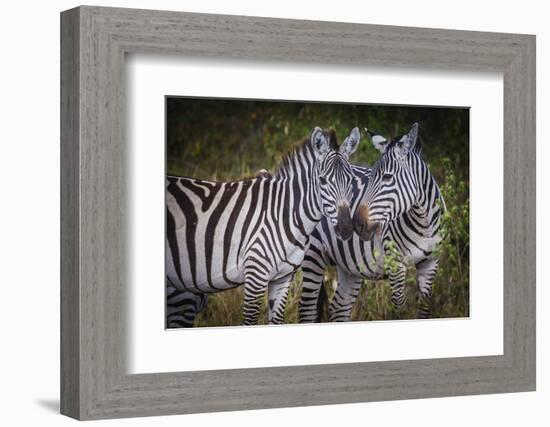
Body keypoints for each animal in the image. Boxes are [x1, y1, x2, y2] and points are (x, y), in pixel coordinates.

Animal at [165, 127, 362, 328]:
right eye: (322, 181)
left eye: (352, 181)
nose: (346, 228)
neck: (285, 214)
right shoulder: (255, 275)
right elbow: (250, 321)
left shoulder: (283, 278)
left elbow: (276, 320)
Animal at [300, 123, 446, 324]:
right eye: (371, 177)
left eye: (387, 177)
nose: (356, 224)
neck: (424, 224)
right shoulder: (395, 264)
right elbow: (399, 309)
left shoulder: (431, 263)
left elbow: (424, 309)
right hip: (313, 255)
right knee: (307, 309)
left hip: (350, 266)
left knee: (338, 307)